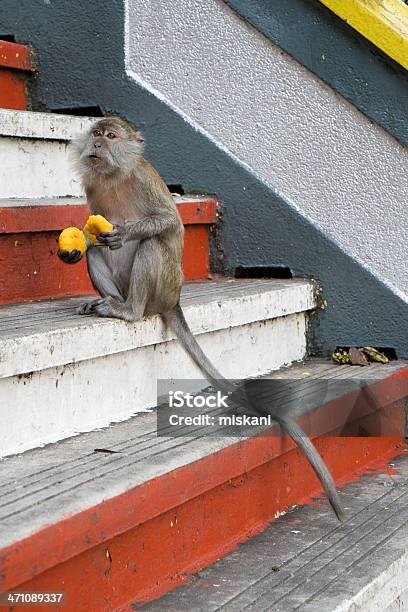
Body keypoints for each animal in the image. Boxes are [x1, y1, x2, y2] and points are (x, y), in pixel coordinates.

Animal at [59, 117, 344, 520]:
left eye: (110, 136)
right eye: (96, 134)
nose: (97, 144)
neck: (114, 176)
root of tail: (174, 299)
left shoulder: (144, 180)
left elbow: (167, 223)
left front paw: (128, 230)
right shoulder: (93, 186)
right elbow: (90, 234)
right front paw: (78, 246)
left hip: (161, 289)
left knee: (153, 244)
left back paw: (128, 309)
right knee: (98, 249)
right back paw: (109, 300)